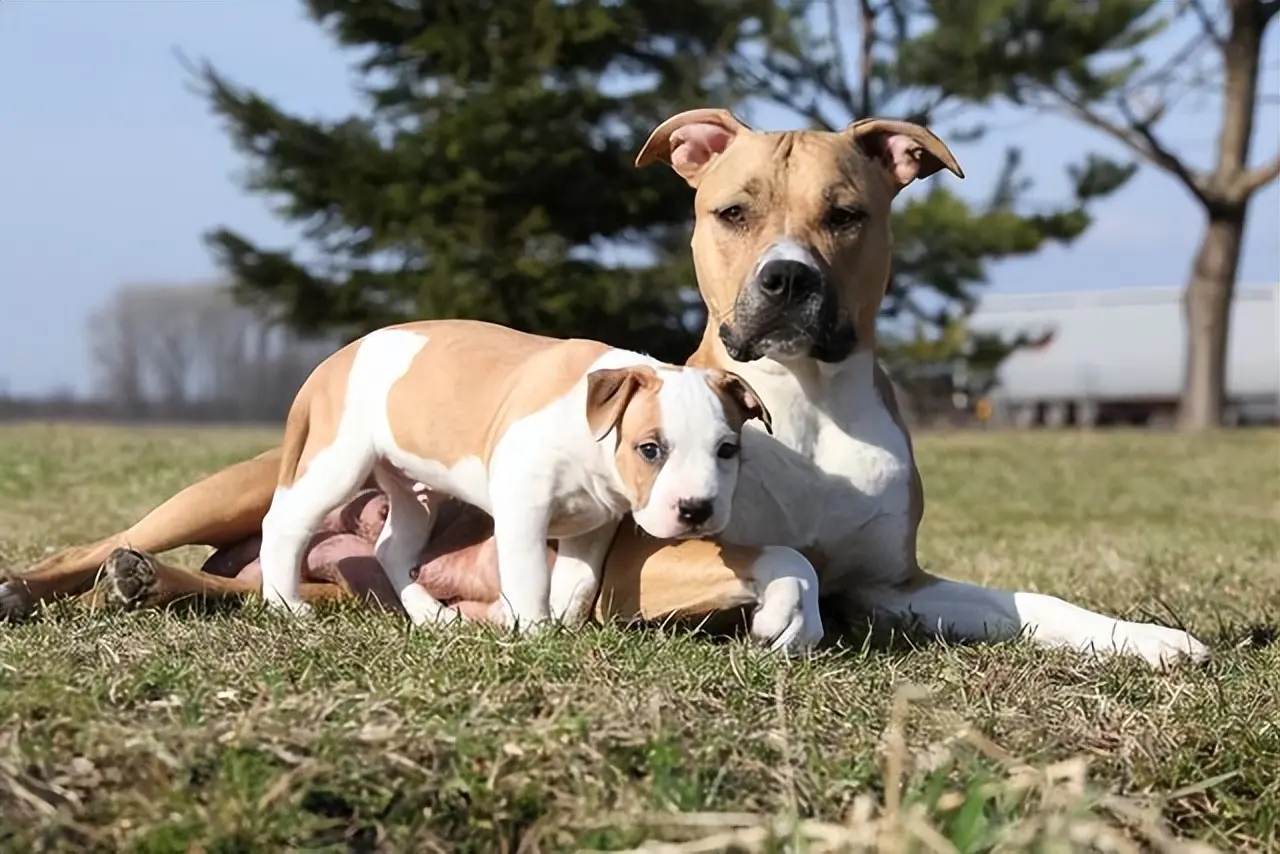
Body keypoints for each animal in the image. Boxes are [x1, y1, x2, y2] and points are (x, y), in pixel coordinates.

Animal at [254, 317, 762, 632]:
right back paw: (287, 605)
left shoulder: (593, 524)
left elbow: (578, 582)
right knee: (284, 524)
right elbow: (530, 574)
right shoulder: (524, 509)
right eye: (650, 449)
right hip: (338, 462)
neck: (588, 429)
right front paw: (535, 630)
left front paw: (562, 626)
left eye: (727, 450)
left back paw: (431, 616)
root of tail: (333, 362)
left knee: (391, 547)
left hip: (415, 492)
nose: (696, 509)